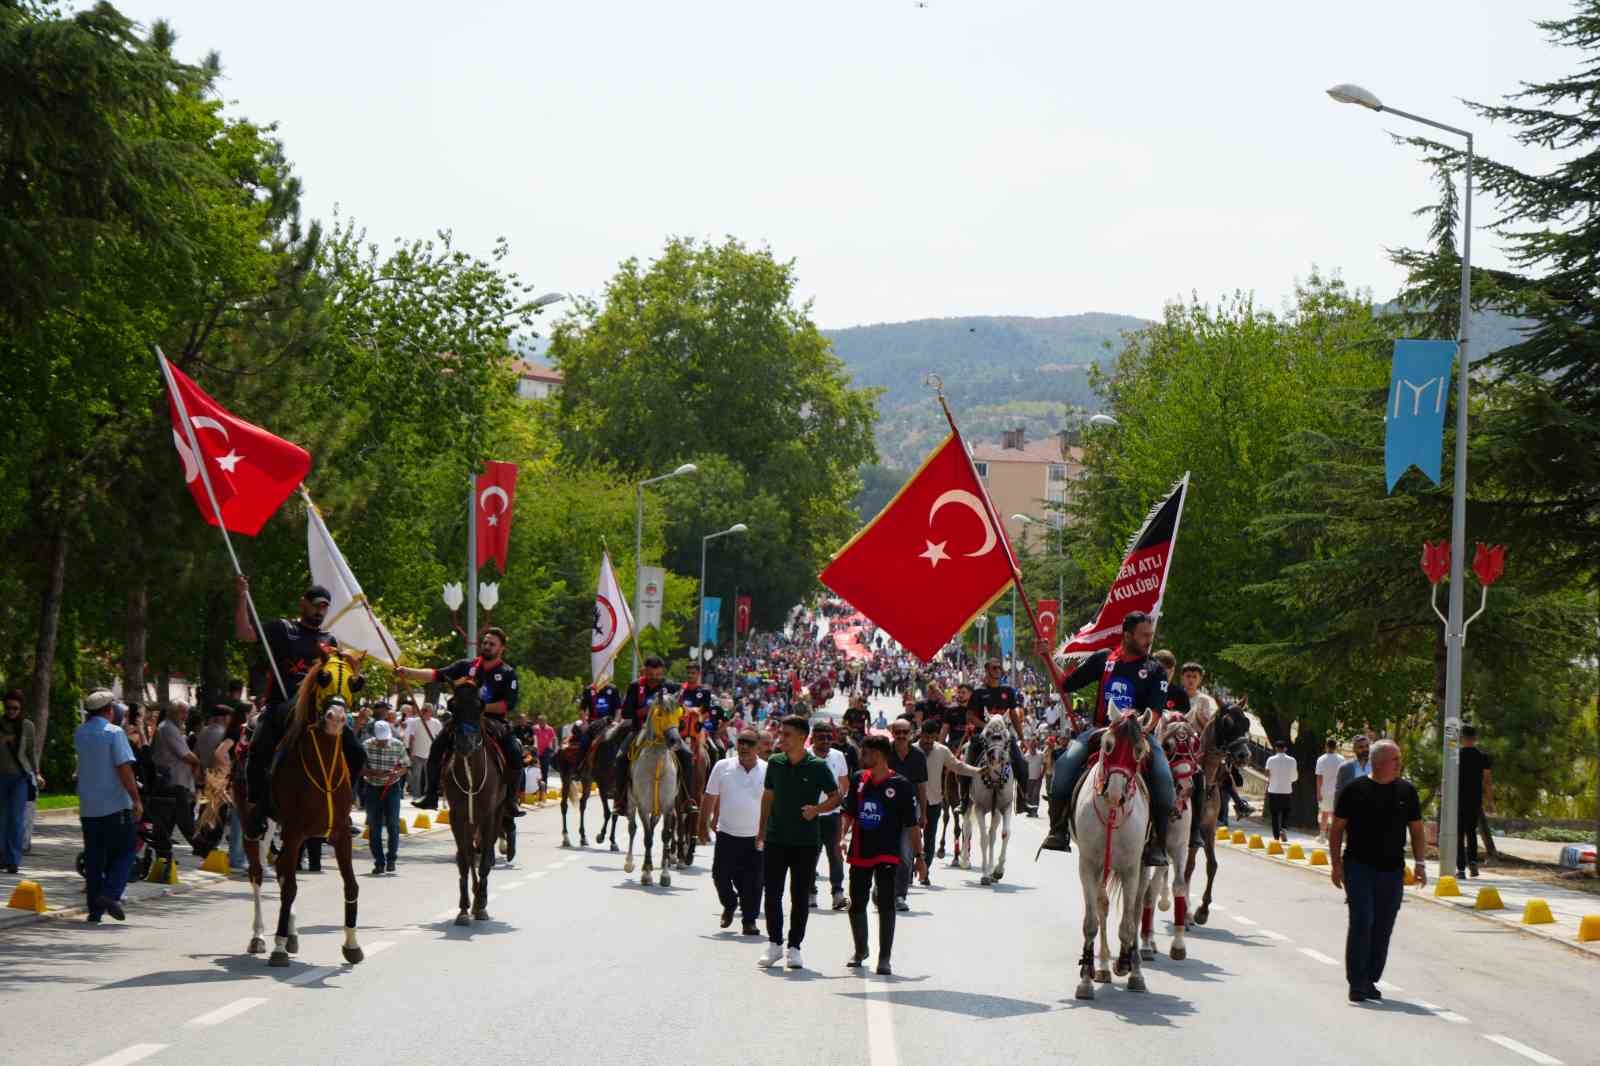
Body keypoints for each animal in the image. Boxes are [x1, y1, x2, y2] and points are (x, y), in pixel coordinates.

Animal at [438, 681, 505, 921]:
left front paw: (480, 904)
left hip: (495, 815)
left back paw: (481, 899)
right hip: (470, 820)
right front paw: (464, 909)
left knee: (485, 853)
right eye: (452, 705)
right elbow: (464, 860)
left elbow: (484, 859)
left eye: (480, 706)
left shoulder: (488, 816)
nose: (465, 743)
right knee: (470, 852)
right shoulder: (457, 816)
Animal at [947, 717, 1011, 883]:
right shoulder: (980, 808)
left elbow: (1004, 834)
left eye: (1007, 737)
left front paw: (997, 871)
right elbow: (983, 839)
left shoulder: (1005, 807)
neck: (994, 780)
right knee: (967, 826)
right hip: (968, 803)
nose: (996, 758)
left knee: (992, 834)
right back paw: (964, 860)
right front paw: (985, 875)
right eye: (985, 736)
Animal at [1075, 713, 1152, 998]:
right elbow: (1091, 921)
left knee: (1138, 909)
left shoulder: (1131, 868)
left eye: (1139, 751)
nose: (1115, 794)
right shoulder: (1088, 865)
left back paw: (1134, 967)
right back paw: (1104, 968)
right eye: (1107, 745)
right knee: (1102, 906)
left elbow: (1129, 922)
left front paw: (1126, 965)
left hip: (1143, 866)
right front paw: (1086, 978)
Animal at [1139, 713, 1203, 960]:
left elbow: (1179, 885)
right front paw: (1145, 944)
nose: (1187, 787)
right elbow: (1145, 891)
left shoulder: (1179, 848)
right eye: (1167, 746)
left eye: (1195, 746)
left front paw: (1178, 944)